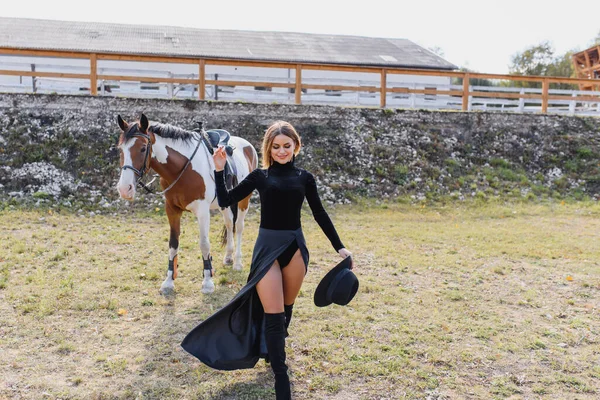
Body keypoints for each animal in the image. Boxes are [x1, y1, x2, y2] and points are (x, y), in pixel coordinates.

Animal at [115, 112, 258, 294]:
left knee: (238, 226)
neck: (183, 168)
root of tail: (248, 146)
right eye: (121, 149)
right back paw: (228, 257)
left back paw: (238, 262)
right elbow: (173, 244)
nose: (124, 189)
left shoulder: (202, 211)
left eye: (142, 148)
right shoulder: (172, 209)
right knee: (228, 223)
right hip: (224, 204)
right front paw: (169, 281)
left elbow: (204, 244)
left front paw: (207, 281)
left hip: (243, 201)